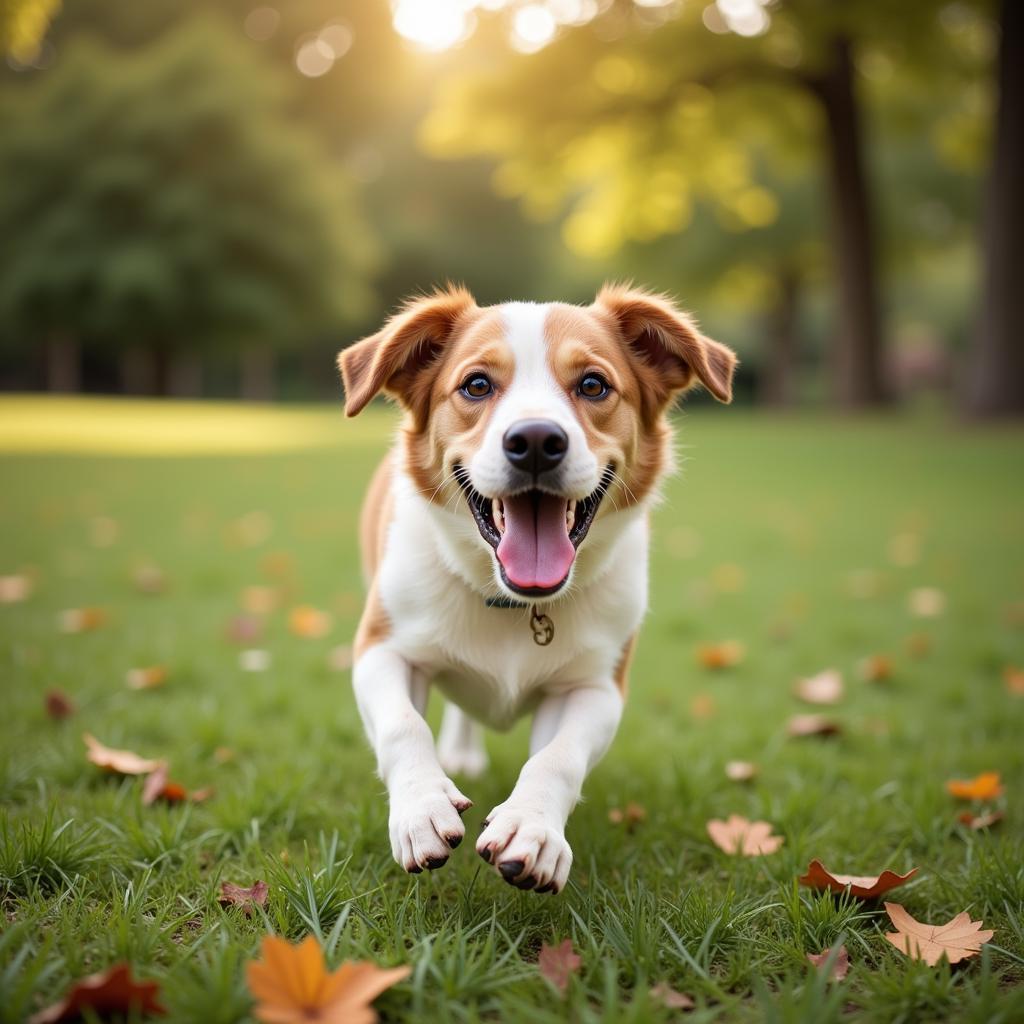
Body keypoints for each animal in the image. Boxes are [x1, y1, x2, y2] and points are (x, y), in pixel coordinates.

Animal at [337, 284, 737, 892]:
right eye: (476, 385)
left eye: (593, 384)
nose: (534, 440)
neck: (517, 601)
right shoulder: (380, 649)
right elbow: (403, 726)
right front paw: (421, 809)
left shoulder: (594, 686)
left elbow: (558, 757)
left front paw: (533, 827)